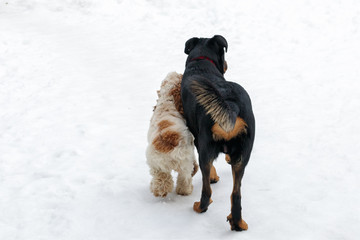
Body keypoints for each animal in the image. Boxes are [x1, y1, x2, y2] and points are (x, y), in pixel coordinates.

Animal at [180, 35, 256, 231]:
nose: (227, 64)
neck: (202, 61)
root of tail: (230, 105)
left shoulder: (197, 139)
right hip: (244, 153)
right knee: (236, 195)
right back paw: (238, 223)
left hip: (205, 146)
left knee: (207, 190)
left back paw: (200, 207)